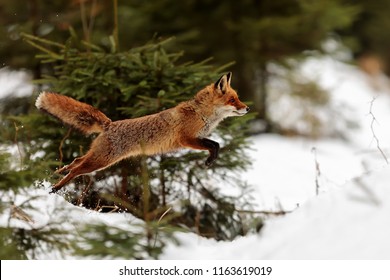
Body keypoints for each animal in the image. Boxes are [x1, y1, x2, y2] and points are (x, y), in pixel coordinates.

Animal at [37, 72, 250, 192]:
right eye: (233, 100)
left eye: (238, 98)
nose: (247, 108)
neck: (201, 114)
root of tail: (109, 124)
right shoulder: (187, 139)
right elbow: (215, 145)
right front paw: (209, 160)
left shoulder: (197, 138)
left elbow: (215, 144)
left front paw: (211, 159)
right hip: (101, 161)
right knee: (76, 170)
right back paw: (55, 188)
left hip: (98, 158)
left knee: (75, 162)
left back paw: (55, 174)